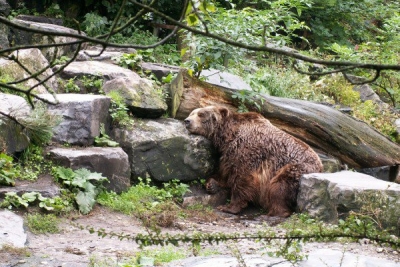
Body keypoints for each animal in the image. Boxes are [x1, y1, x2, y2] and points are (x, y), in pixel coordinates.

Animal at [184, 105, 322, 219]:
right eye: (192, 113)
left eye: (201, 114)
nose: (187, 121)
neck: (228, 135)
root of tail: (321, 168)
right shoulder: (228, 153)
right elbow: (225, 171)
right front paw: (211, 184)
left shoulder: (248, 151)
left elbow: (243, 178)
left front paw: (228, 207)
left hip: (295, 169)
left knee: (279, 187)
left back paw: (273, 213)